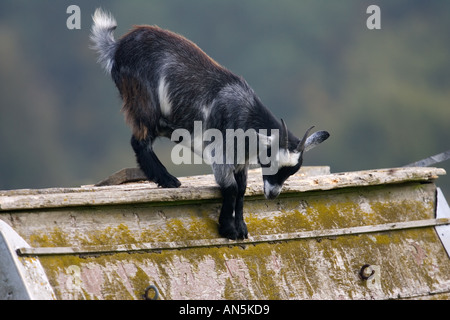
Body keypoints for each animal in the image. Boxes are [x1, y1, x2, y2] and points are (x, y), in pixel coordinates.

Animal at [90, 8, 330, 240]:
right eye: (270, 159)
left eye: (291, 171)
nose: (272, 194)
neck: (244, 112)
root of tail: (117, 46)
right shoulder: (220, 153)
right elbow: (231, 188)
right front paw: (228, 229)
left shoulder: (240, 161)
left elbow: (241, 190)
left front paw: (241, 228)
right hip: (142, 99)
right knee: (139, 140)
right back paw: (167, 179)